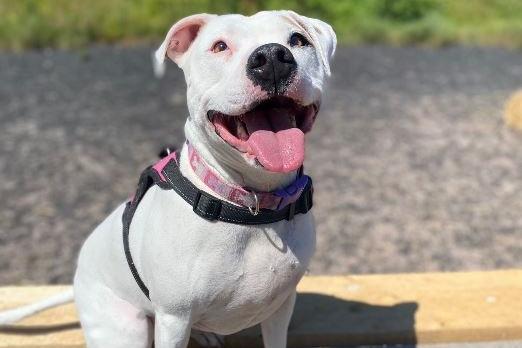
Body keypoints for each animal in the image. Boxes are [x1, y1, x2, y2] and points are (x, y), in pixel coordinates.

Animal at [0, 10, 334, 348]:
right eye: (220, 46)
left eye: (298, 40)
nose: (272, 58)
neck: (248, 202)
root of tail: (78, 277)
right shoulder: (174, 319)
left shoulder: (281, 308)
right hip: (128, 329)